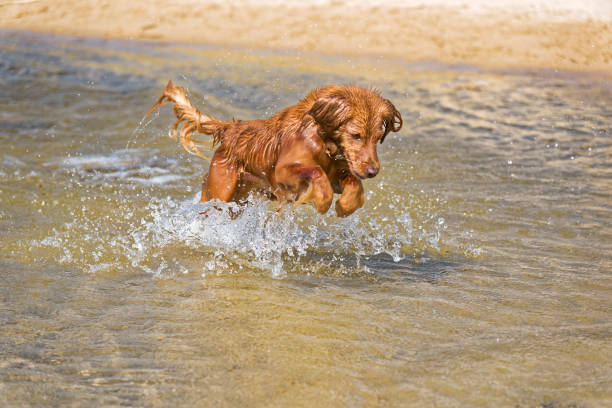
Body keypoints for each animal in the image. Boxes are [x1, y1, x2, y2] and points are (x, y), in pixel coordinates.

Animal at [147, 81, 402, 218]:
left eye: (377, 137)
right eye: (356, 135)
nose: (373, 171)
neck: (323, 138)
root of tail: (231, 129)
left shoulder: (338, 172)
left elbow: (352, 181)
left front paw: (347, 205)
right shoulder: (282, 173)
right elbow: (315, 171)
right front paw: (323, 201)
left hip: (240, 198)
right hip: (220, 192)